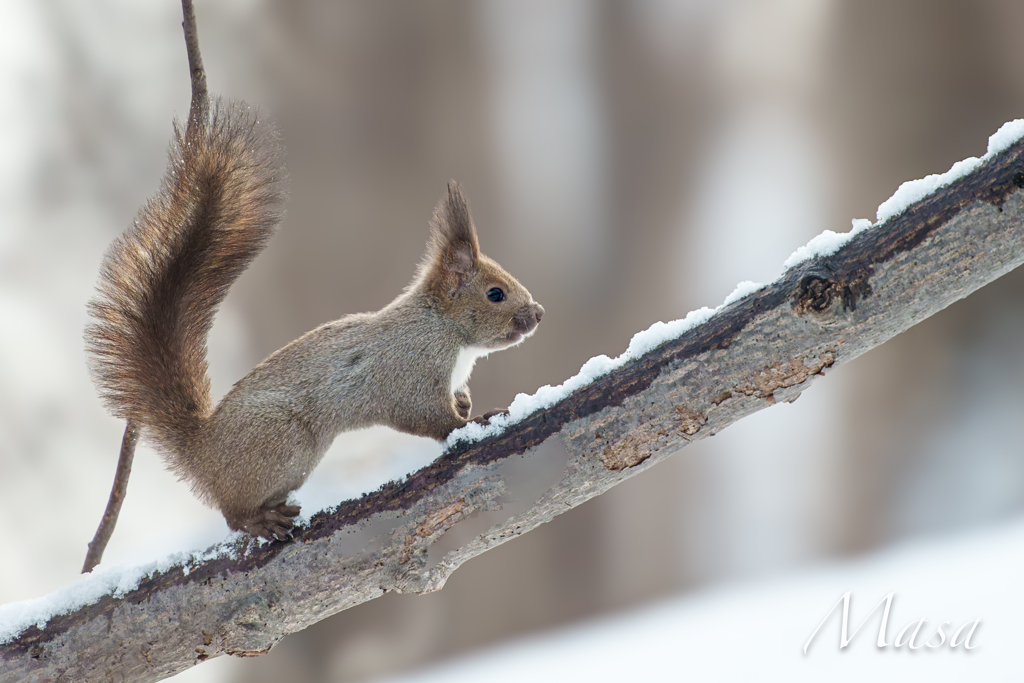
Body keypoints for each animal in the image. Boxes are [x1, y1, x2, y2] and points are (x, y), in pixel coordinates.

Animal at [83, 10, 544, 540]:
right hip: (284, 442)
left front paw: (467, 403)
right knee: (232, 514)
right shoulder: (407, 373)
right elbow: (429, 418)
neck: (443, 328)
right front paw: (474, 420)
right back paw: (260, 518)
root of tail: (203, 456)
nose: (537, 313)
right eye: (495, 293)